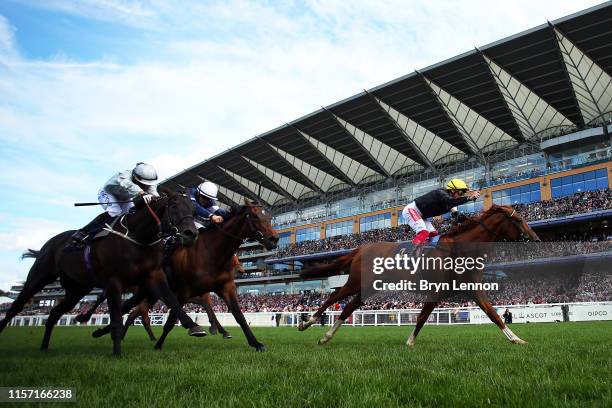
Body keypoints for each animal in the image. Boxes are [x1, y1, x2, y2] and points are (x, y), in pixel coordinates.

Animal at [296, 206, 540, 346]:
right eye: (518, 220)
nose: (536, 240)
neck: (459, 249)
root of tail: (360, 249)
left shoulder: (473, 289)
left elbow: (494, 314)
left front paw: (516, 339)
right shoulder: (436, 291)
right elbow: (422, 317)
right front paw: (410, 342)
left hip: (369, 287)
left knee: (348, 307)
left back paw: (326, 336)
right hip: (356, 282)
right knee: (333, 298)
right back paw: (307, 322)